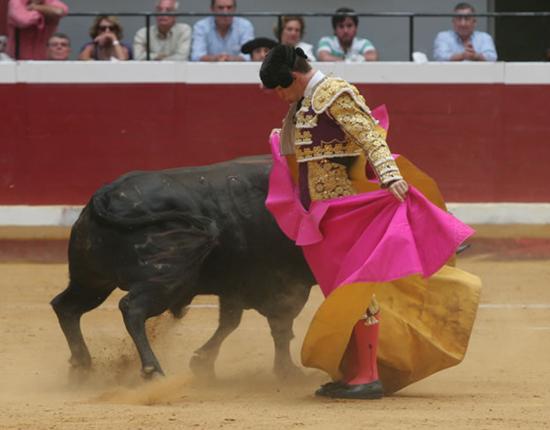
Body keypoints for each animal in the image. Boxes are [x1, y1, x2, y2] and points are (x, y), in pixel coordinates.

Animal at [53, 156, 316, 378]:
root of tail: (107, 194)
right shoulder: (282, 283)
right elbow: (277, 324)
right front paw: (287, 371)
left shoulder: (238, 285)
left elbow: (234, 321)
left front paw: (203, 363)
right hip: (166, 277)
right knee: (132, 308)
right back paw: (152, 370)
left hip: (92, 280)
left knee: (66, 307)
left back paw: (81, 367)